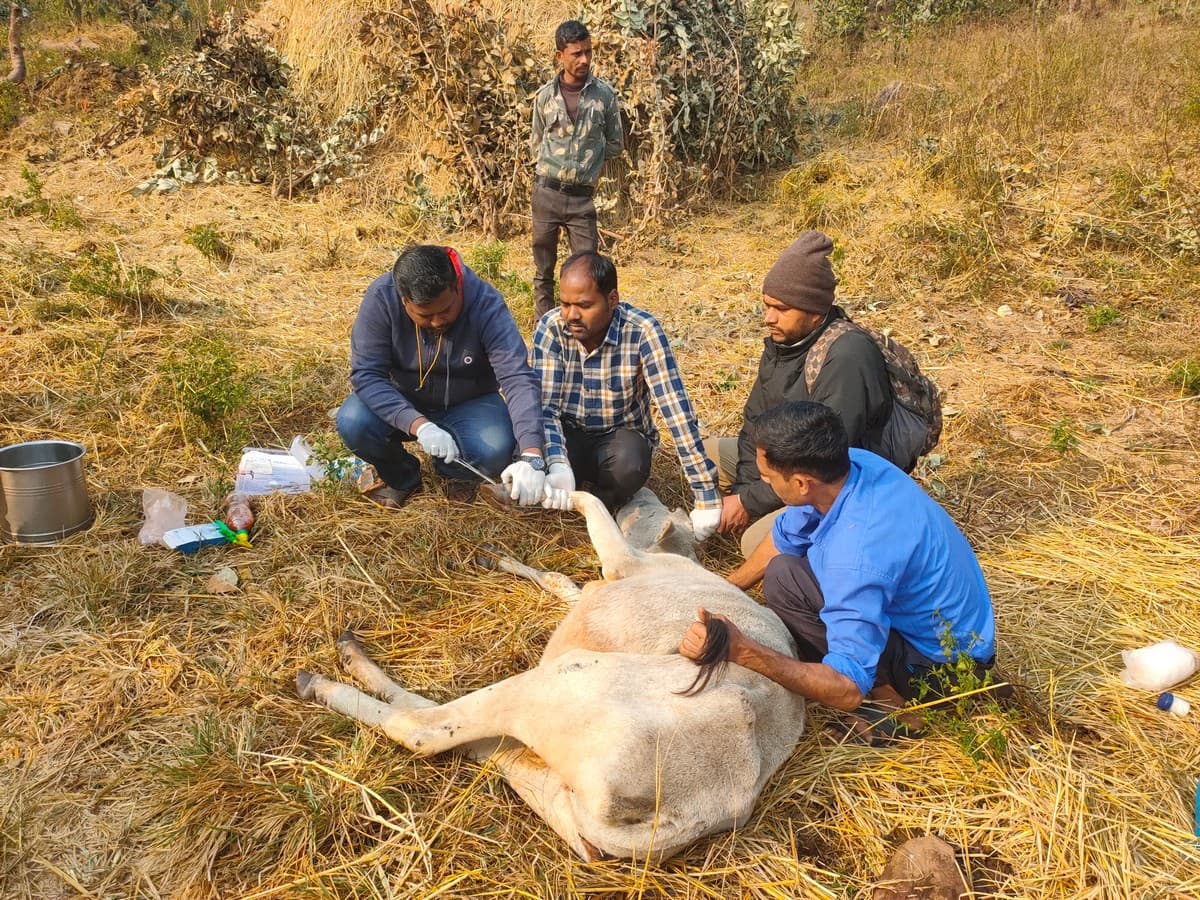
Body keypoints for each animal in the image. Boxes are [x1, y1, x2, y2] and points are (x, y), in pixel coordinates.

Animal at [297, 494, 806, 868]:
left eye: (652, 509)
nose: (638, 492)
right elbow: (560, 580)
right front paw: (500, 557)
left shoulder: (622, 562)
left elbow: (591, 505)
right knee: (476, 740)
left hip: (565, 681)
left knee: (425, 729)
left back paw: (329, 678)